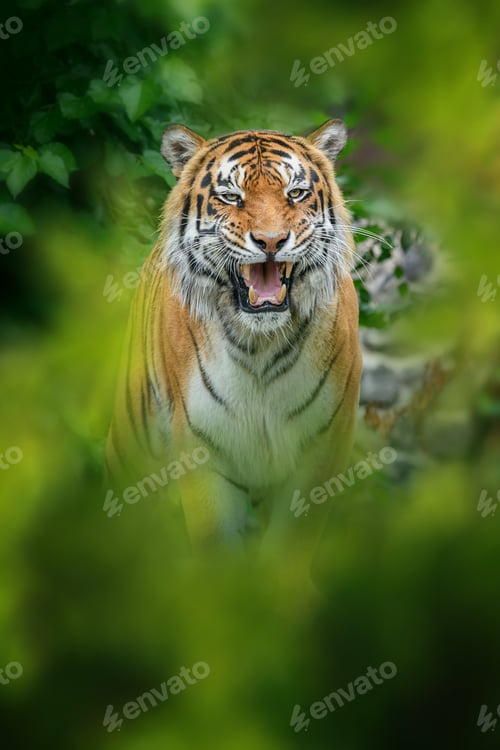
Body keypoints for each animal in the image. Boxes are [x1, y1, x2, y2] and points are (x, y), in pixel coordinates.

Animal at [106, 119, 362, 578]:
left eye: (295, 193)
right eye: (231, 196)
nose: (272, 241)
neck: (260, 343)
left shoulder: (322, 446)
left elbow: (287, 551)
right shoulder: (202, 449)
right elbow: (215, 549)